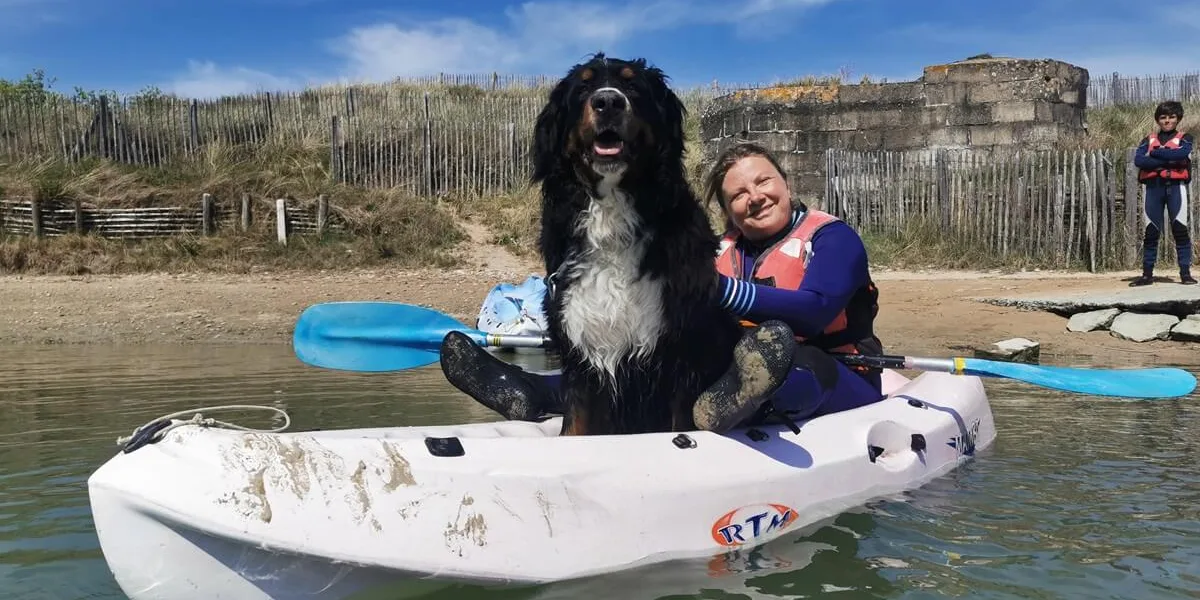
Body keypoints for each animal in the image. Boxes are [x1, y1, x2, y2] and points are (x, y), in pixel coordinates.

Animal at [528, 52, 748, 436]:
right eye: (583, 86)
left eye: (632, 86)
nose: (608, 101)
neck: (612, 216)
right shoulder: (581, 361)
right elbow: (573, 429)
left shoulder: (680, 359)